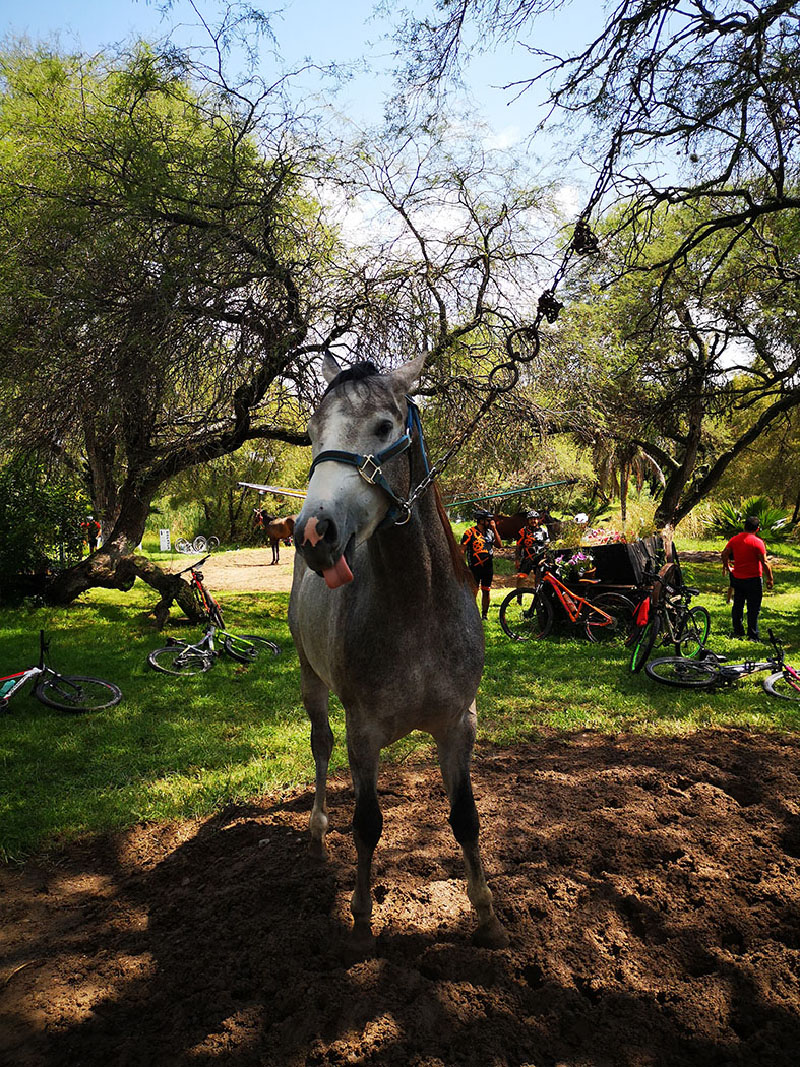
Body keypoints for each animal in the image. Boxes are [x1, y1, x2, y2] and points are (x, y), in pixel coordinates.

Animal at [292, 352, 509, 951]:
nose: (313, 534)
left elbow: (466, 818)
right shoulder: (362, 731)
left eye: (383, 426)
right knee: (321, 748)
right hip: (310, 678)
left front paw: (486, 913)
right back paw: (318, 829)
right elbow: (367, 825)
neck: (417, 609)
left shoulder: (458, 724)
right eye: (313, 434)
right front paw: (362, 918)